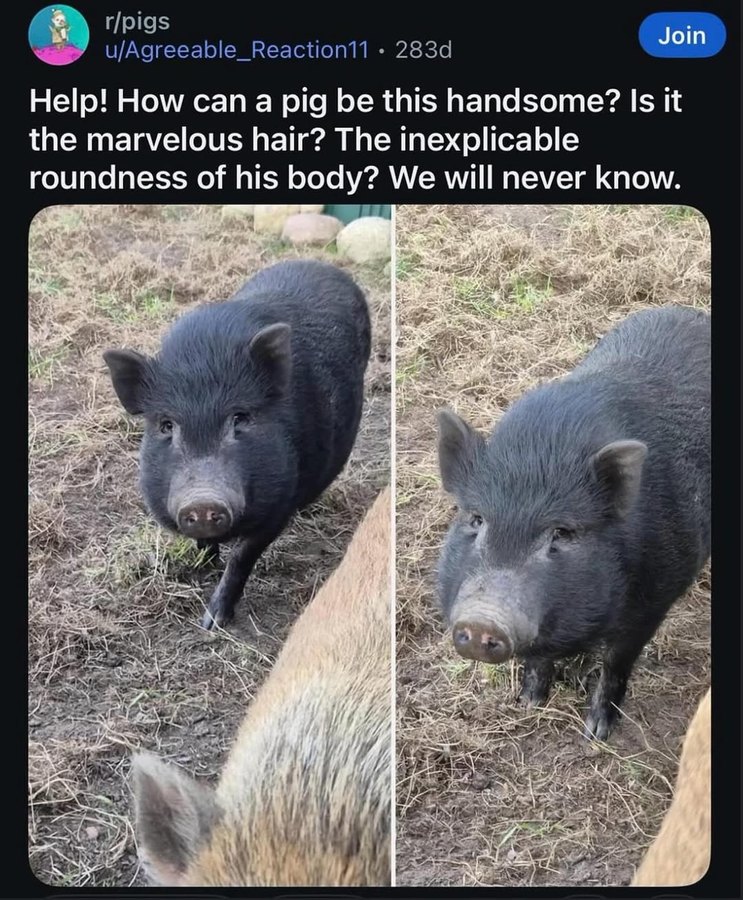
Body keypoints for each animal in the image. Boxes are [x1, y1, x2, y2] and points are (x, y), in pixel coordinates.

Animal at [103, 260, 371, 629]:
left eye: (240, 418)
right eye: (167, 425)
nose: (202, 501)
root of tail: (321, 265)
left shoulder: (279, 502)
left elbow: (243, 556)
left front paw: (212, 623)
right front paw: (203, 566)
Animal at [436, 306, 710, 739]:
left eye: (561, 532)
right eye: (477, 519)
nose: (482, 621)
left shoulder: (655, 600)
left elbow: (617, 662)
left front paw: (596, 733)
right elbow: (538, 659)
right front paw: (529, 702)